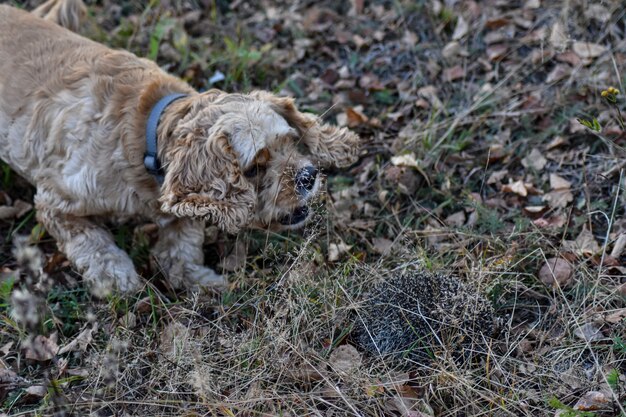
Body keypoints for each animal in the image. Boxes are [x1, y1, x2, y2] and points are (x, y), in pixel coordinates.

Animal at [0, 0, 360, 294]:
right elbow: (92, 241)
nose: (308, 176)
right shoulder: (54, 202)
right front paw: (116, 277)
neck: (146, 135)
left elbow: (180, 246)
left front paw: (198, 279)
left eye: (291, 142)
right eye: (254, 168)